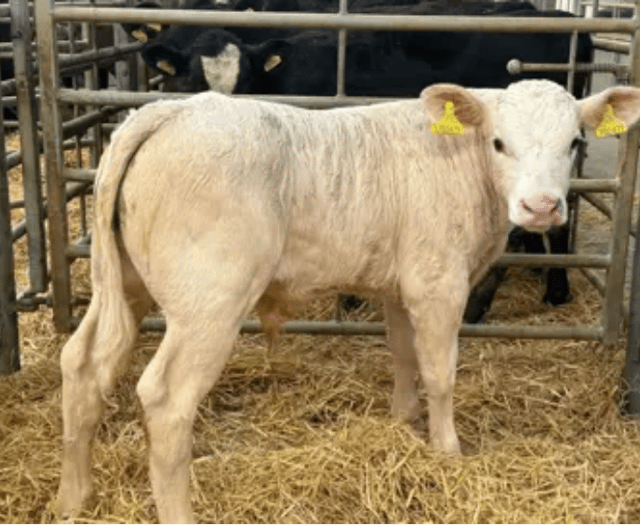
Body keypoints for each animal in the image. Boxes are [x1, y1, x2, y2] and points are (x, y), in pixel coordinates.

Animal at [55, 80, 640, 523]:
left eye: (574, 142)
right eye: (499, 143)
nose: (542, 207)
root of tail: (169, 110)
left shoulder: (404, 284)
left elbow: (404, 355)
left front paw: (403, 422)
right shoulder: (438, 282)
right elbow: (441, 371)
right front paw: (447, 448)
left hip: (123, 285)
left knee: (82, 363)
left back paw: (74, 498)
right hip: (209, 304)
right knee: (165, 397)